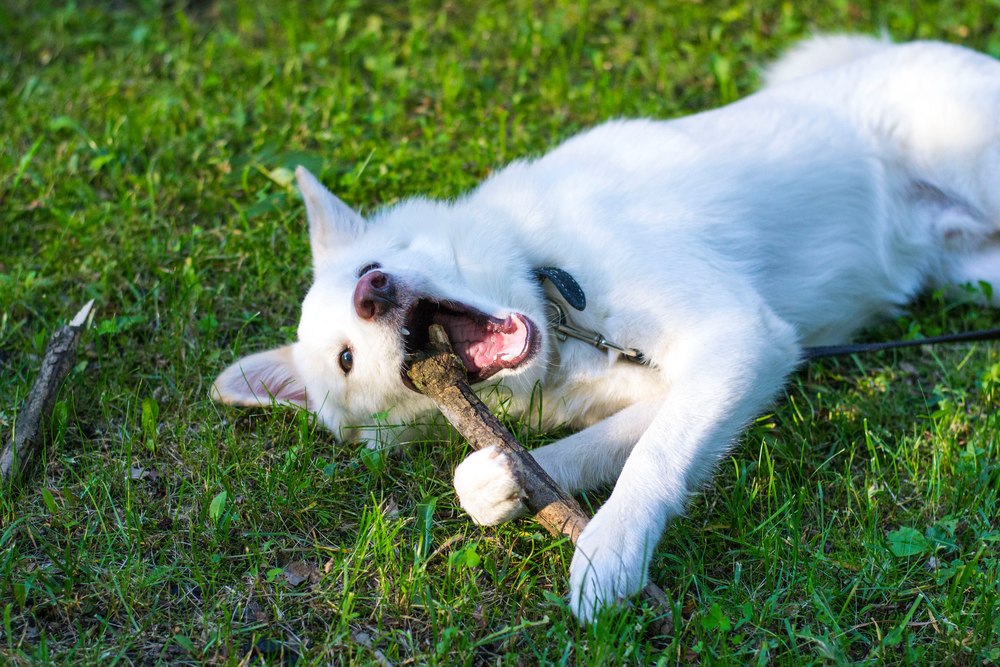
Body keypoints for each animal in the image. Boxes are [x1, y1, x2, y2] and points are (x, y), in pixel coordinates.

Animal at [215, 35, 1000, 620]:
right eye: (347, 358)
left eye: (370, 266)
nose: (373, 293)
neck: (556, 304)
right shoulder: (686, 382)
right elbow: (581, 454)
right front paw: (494, 483)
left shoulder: (742, 338)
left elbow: (654, 460)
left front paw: (608, 553)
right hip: (976, 273)